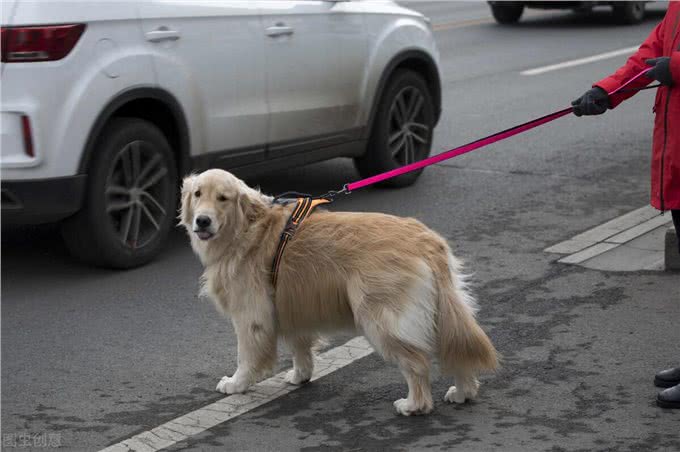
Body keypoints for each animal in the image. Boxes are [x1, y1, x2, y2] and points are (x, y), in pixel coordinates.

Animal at [181, 168, 500, 414]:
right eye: (197, 194)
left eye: (223, 198)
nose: (202, 220)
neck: (246, 229)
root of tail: (426, 241)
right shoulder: (293, 306)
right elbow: (300, 349)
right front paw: (300, 376)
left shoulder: (251, 317)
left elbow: (246, 357)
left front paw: (236, 384)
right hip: (444, 311)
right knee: (456, 348)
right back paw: (463, 391)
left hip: (380, 319)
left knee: (418, 363)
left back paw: (414, 405)